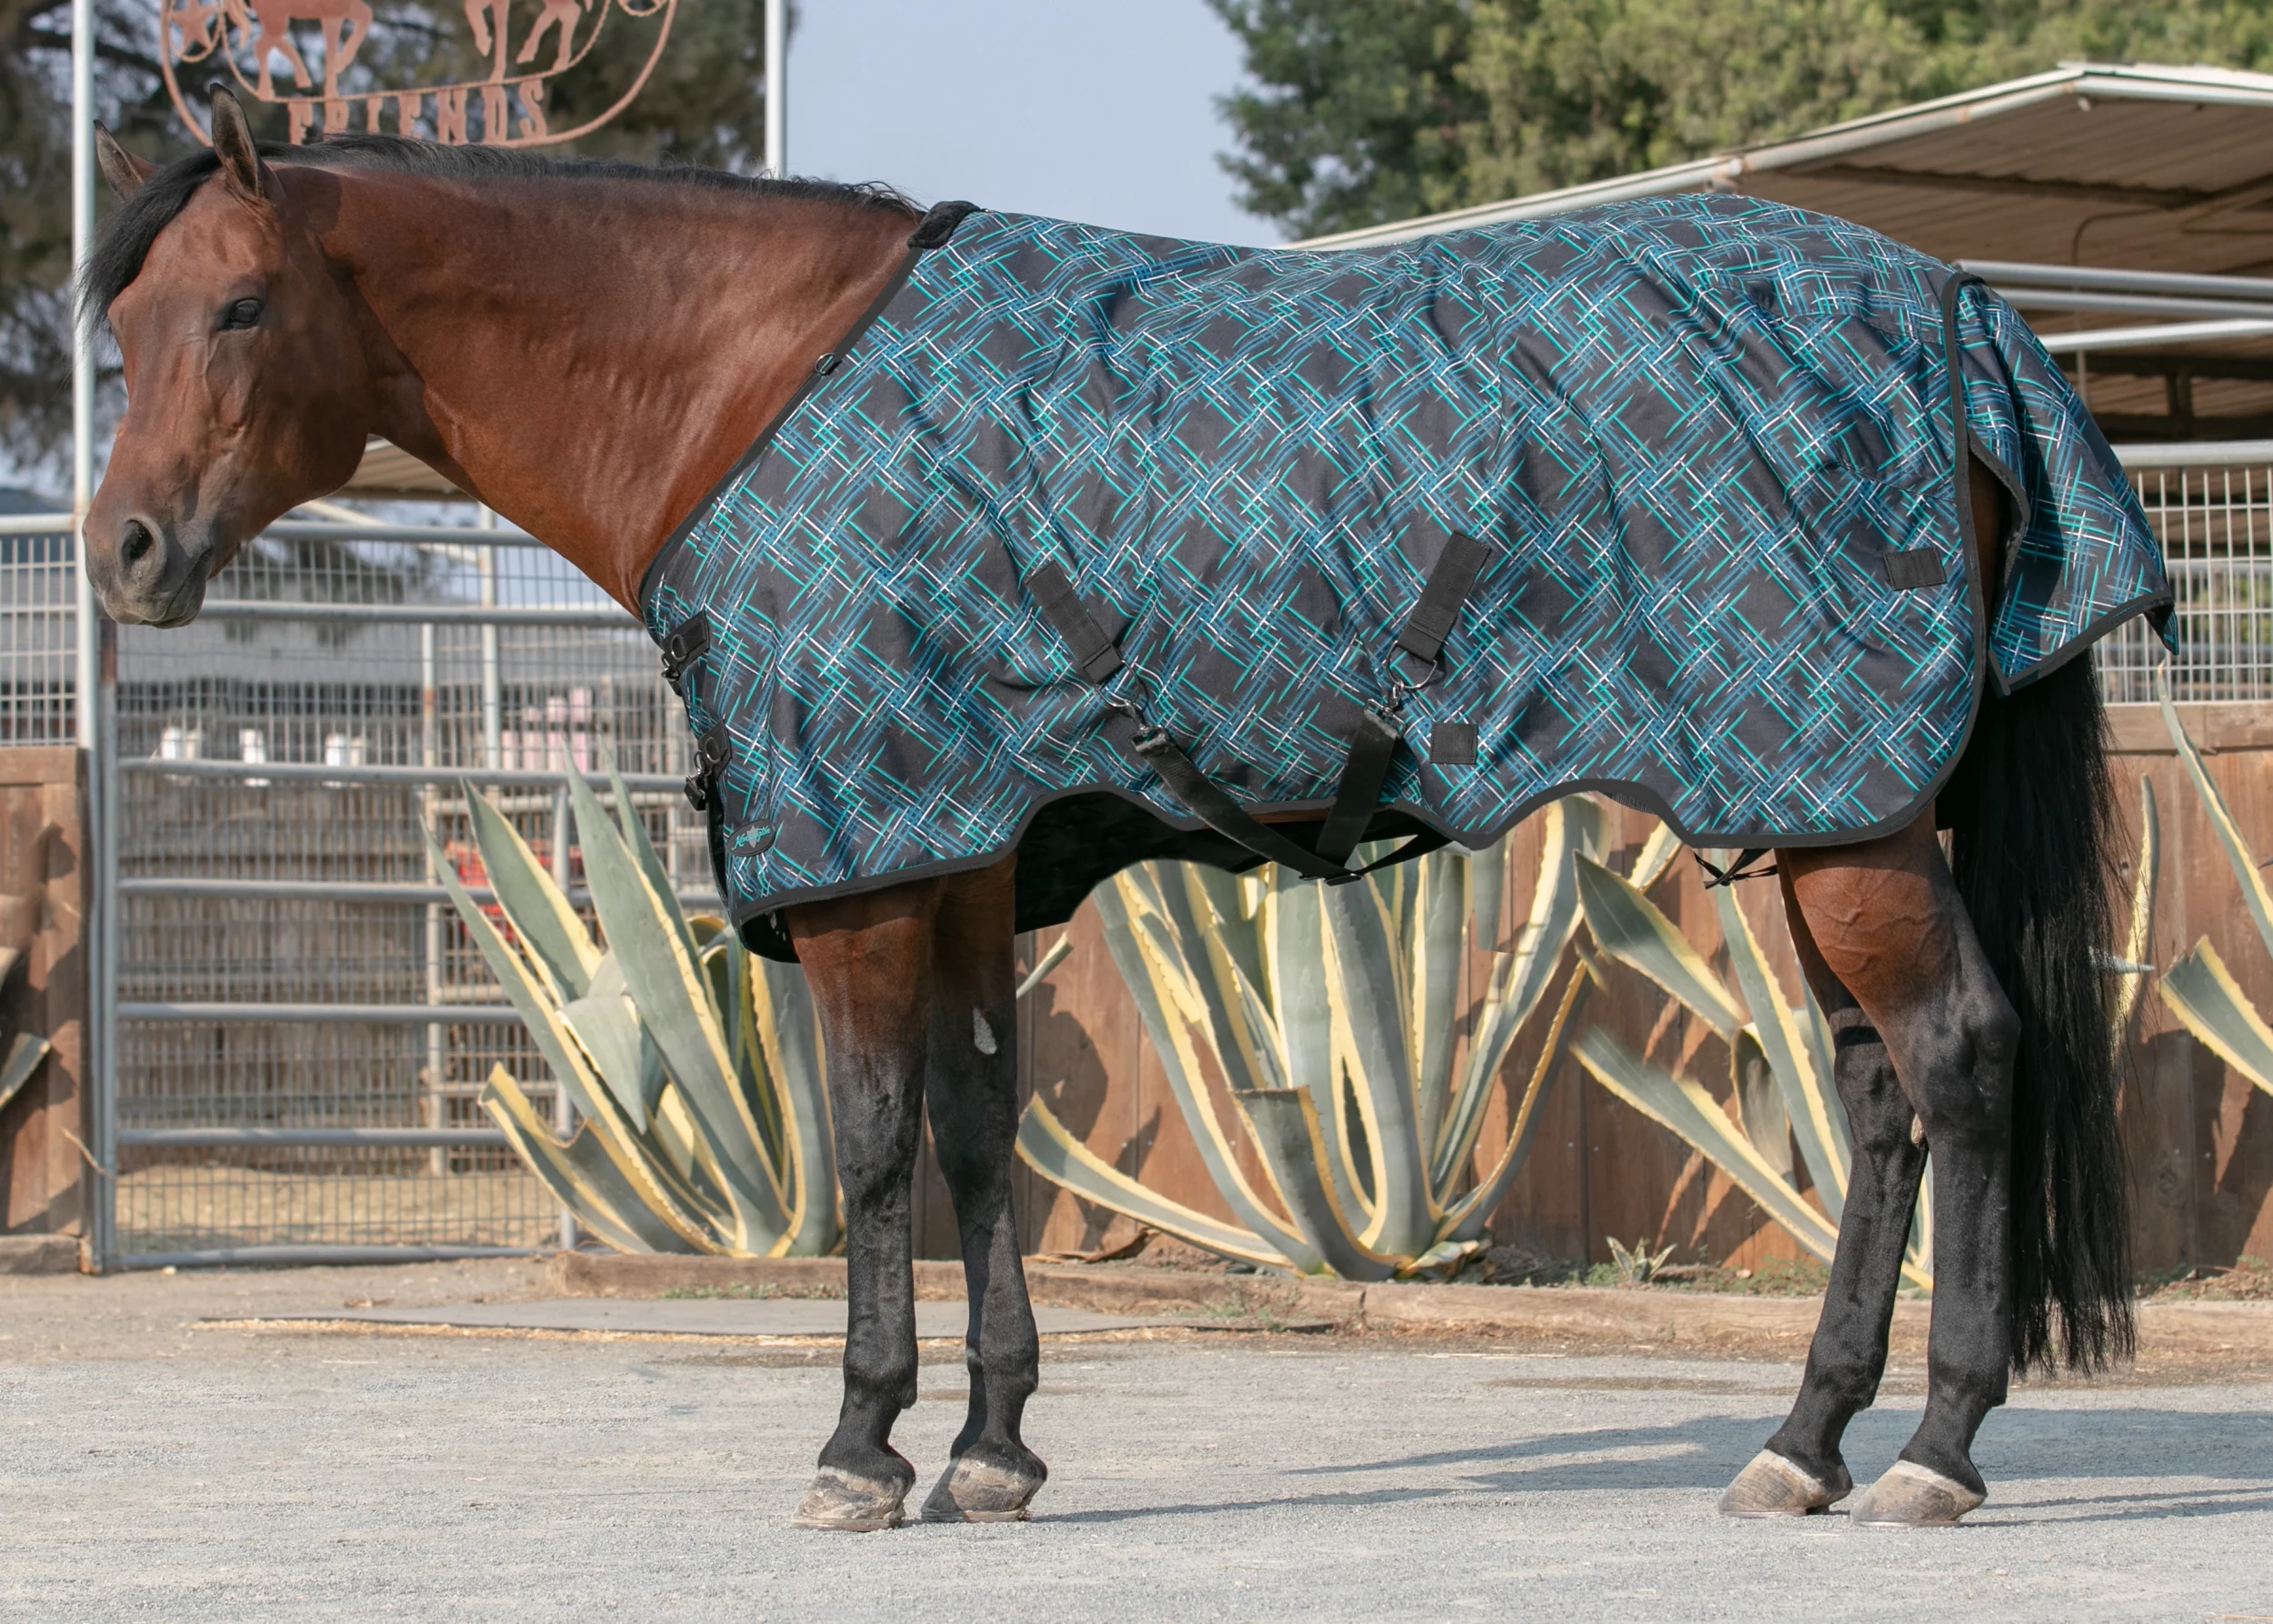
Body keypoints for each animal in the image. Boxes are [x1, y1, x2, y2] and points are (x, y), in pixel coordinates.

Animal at [82, 86, 2163, 1533]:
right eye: (126, 326)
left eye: (242, 307)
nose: (121, 553)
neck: (747, 386)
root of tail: (1957, 311)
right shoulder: (960, 861)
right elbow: (982, 1137)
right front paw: (994, 1447)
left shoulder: (864, 873)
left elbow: (871, 1152)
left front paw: (861, 1448)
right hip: (1820, 811)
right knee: (1879, 1096)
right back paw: (1800, 1442)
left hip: (1844, 817)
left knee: (1961, 1059)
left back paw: (1935, 1448)